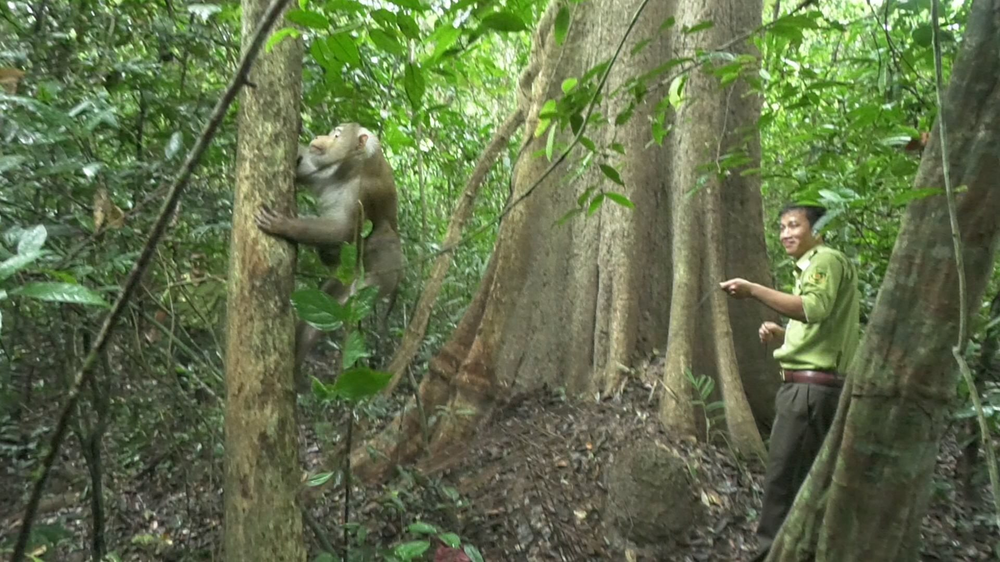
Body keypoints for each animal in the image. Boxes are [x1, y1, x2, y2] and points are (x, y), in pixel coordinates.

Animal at [256, 120, 404, 378]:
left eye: (337, 135)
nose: (319, 136)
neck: (351, 167)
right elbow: (304, 168)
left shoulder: (362, 191)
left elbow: (343, 231)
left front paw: (285, 225)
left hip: (383, 271)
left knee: (345, 307)